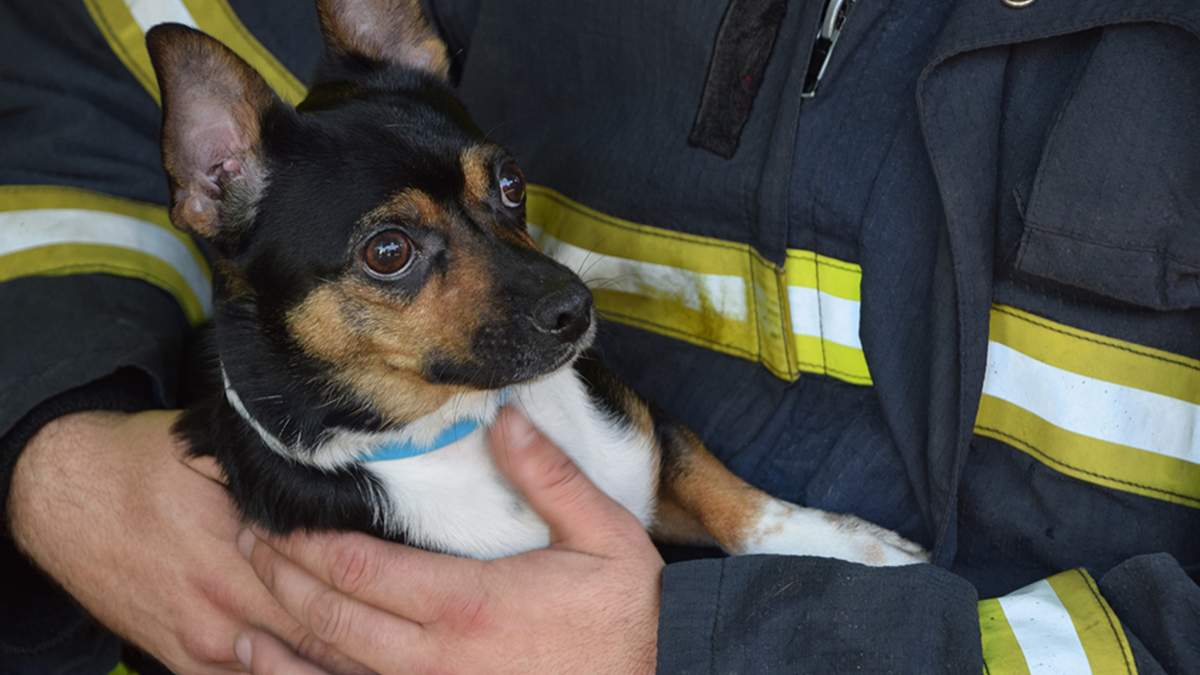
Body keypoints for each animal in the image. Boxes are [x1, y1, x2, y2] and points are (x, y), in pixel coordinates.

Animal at [145, 0, 921, 562]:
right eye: (387, 251)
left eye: (511, 183)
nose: (576, 309)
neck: (467, 421)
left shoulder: (649, 436)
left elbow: (734, 498)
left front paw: (852, 545)